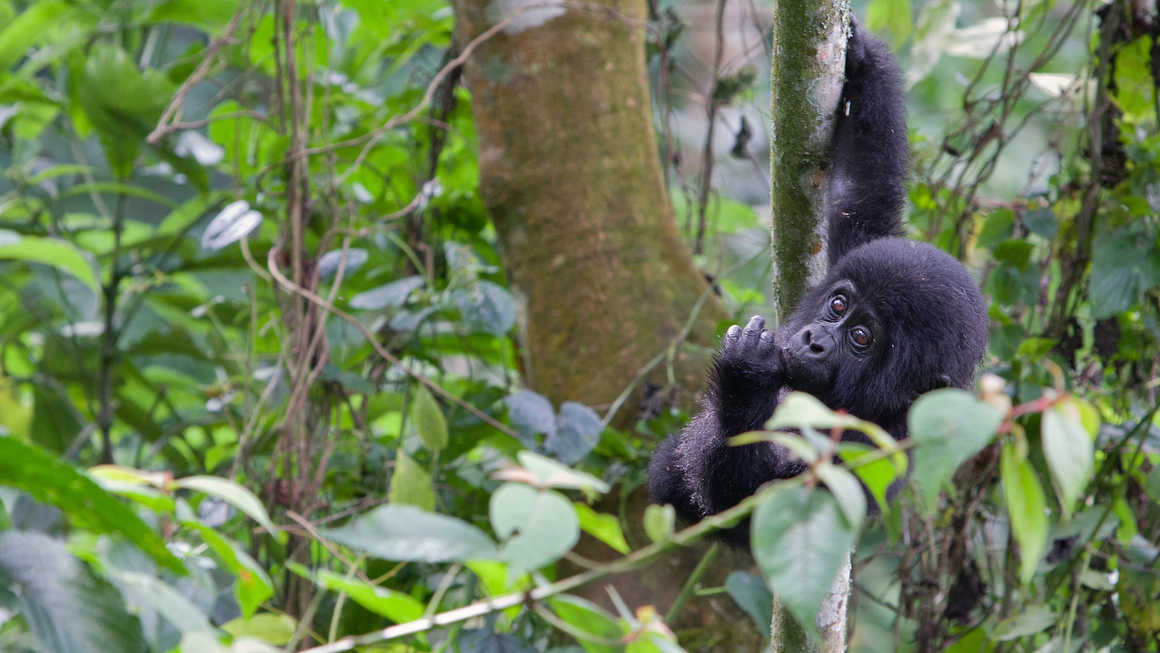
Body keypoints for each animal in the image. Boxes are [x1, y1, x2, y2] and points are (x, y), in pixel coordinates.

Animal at [644, 20, 988, 542]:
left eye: (862, 338)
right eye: (838, 306)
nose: (814, 339)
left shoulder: (873, 449)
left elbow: (762, 505)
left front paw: (745, 383)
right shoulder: (859, 247)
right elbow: (859, 190)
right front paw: (863, 59)